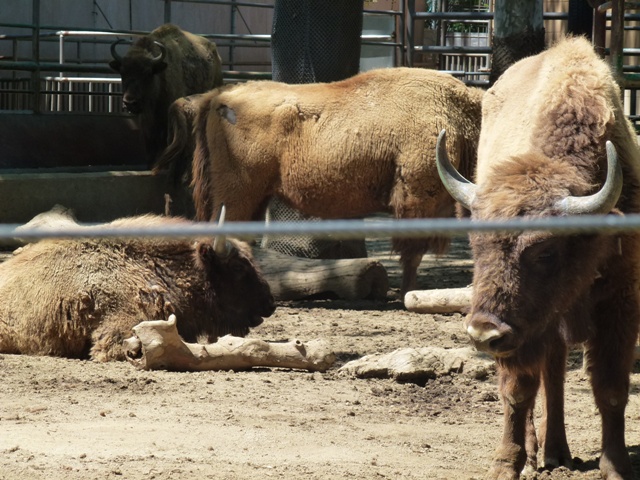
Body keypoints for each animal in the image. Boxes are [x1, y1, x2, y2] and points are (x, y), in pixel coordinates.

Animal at [437, 37, 640, 479]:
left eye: (545, 250)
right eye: (475, 244)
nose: (482, 332)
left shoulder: (621, 299)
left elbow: (611, 388)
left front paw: (616, 467)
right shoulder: (521, 331)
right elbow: (518, 390)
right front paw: (506, 464)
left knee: (555, 370)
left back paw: (556, 451)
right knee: (544, 374)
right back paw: (539, 452)